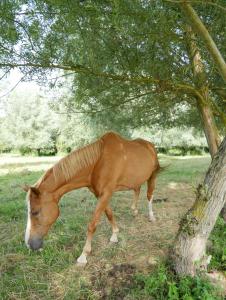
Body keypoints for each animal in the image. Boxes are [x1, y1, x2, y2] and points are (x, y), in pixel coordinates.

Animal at [22, 131, 161, 264]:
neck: (98, 162)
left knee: (149, 195)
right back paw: (134, 210)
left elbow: (92, 225)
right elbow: (109, 214)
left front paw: (84, 255)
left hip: (152, 176)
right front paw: (115, 235)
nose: (29, 245)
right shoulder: (100, 194)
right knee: (137, 189)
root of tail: (150, 145)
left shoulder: (106, 193)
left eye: (35, 212)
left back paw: (151, 216)